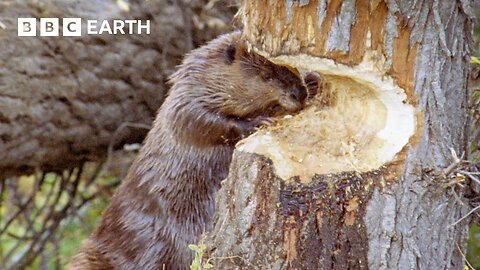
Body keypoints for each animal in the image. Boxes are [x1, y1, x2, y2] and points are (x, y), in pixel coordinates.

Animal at [66, 31, 316, 270]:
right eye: (266, 76)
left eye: (292, 67)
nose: (298, 93)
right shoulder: (184, 102)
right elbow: (200, 121)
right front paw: (256, 121)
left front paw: (313, 80)